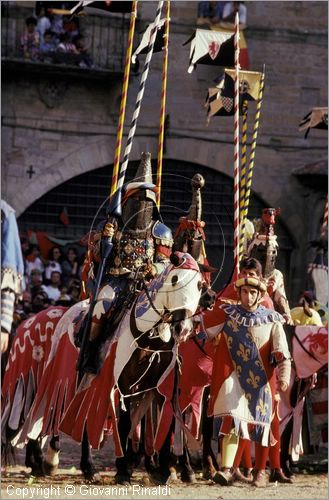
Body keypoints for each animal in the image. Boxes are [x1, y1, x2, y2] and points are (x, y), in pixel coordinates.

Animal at [2, 252, 201, 482]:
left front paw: (161, 469)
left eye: (199, 285)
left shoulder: (158, 388)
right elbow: (126, 424)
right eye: (175, 279)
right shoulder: (122, 386)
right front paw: (124, 470)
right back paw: (69, 464)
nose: (183, 328)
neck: (148, 335)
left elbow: (160, 424)